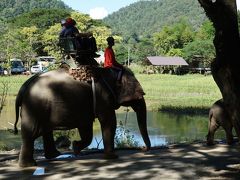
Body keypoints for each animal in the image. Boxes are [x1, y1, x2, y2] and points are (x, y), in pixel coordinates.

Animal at [14, 66, 151, 167]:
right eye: (139, 95)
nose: (143, 148)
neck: (110, 71)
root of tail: (23, 87)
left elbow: (86, 128)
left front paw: (75, 148)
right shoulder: (102, 97)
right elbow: (109, 121)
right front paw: (113, 157)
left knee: (45, 131)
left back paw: (54, 156)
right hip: (34, 107)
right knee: (31, 133)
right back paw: (29, 165)